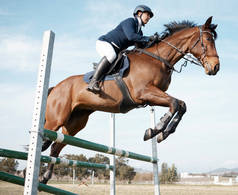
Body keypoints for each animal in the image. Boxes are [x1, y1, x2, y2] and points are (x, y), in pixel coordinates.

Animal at [39, 16, 219, 183]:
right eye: (208, 39)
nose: (216, 67)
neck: (158, 59)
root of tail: (56, 87)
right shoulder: (144, 92)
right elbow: (175, 104)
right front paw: (154, 130)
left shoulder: (153, 96)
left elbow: (181, 105)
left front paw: (162, 133)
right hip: (56, 119)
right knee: (47, 139)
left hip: (75, 123)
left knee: (56, 146)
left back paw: (45, 177)